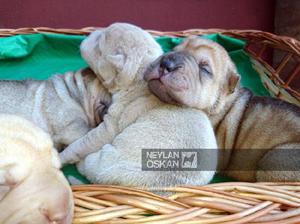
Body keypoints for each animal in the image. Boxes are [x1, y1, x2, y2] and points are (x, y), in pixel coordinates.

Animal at [59, 22, 218, 187]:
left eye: (98, 47)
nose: (88, 35)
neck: (139, 75)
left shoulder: (110, 126)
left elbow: (83, 143)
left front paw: (62, 155)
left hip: (104, 163)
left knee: (88, 165)